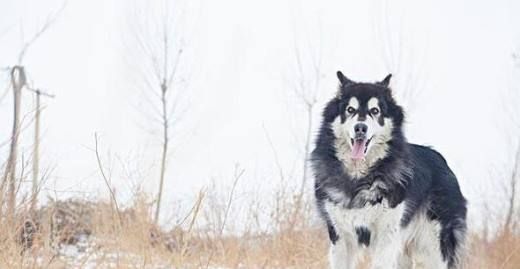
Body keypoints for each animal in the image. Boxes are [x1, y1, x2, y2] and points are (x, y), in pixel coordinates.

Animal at [310, 71, 470, 268]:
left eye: (375, 111)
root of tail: (444, 163)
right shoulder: (340, 236)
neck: (359, 179)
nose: (360, 128)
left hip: (434, 249)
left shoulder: (386, 236)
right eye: (350, 110)